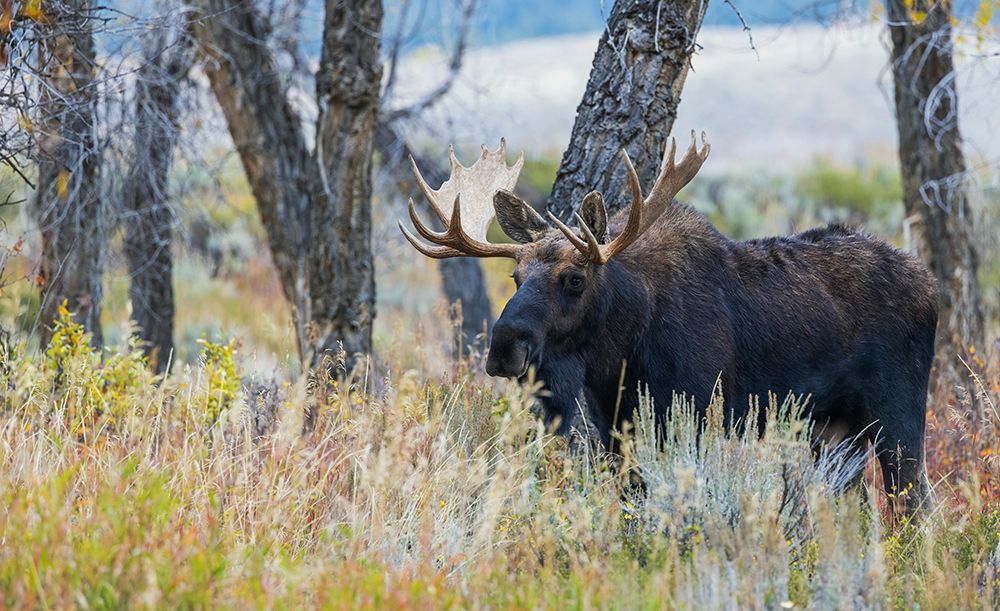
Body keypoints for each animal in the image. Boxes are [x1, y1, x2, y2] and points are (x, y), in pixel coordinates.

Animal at [399, 133, 938, 516]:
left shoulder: (691, 414)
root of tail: (931, 284)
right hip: (832, 430)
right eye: (514, 276)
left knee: (915, 501)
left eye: (574, 278)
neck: (618, 355)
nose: (504, 347)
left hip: (897, 413)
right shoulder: (618, 428)